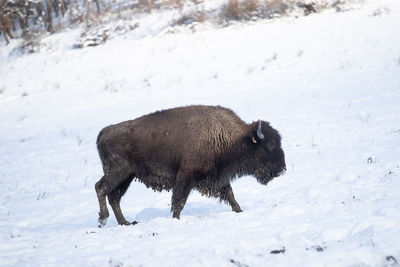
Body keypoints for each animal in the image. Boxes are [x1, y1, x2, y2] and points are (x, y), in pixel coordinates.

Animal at [95, 105, 286, 227]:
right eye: (270, 145)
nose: (282, 169)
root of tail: (103, 132)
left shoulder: (218, 176)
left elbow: (230, 194)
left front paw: (239, 211)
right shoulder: (185, 177)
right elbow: (179, 201)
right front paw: (175, 219)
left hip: (127, 177)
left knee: (114, 197)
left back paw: (125, 223)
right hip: (118, 172)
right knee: (101, 188)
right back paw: (104, 219)